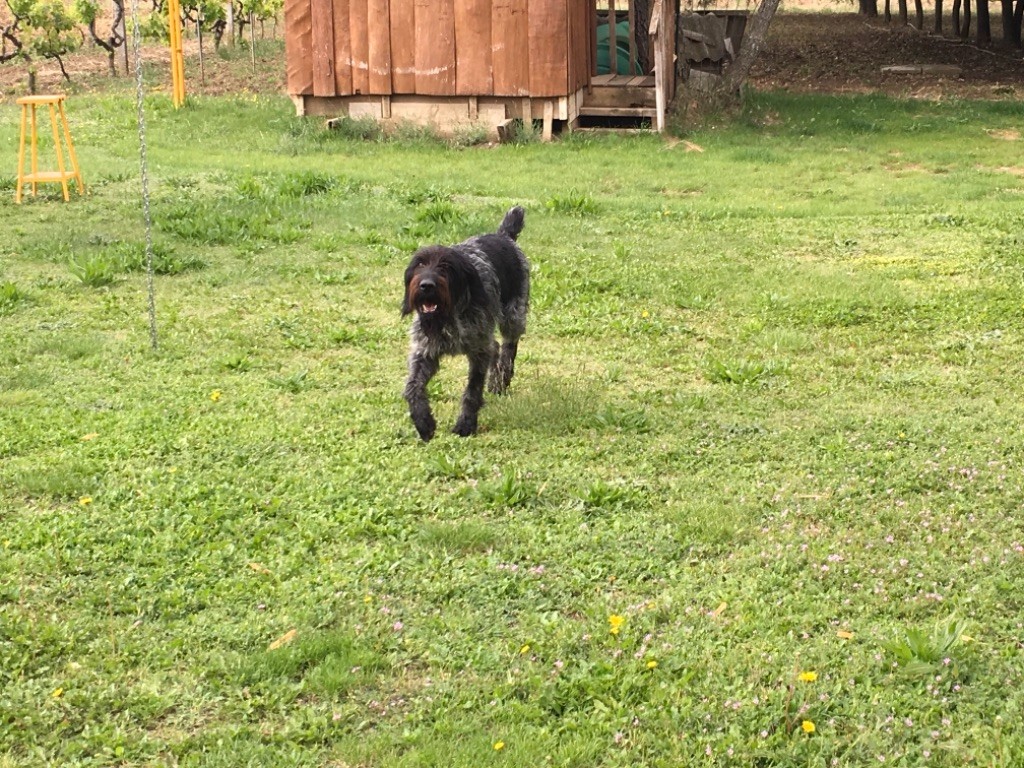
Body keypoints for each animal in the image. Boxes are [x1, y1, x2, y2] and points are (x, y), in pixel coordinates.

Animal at [399, 207, 528, 442]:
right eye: (420, 264)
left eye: (445, 266)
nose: (426, 285)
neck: (447, 316)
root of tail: (504, 235)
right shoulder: (425, 352)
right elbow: (412, 388)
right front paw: (423, 422)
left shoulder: (478, 351)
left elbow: (472, 392)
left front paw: (466, 425)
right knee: (496, 346)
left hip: (513, 315)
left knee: (508, 347)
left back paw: (501, 381)